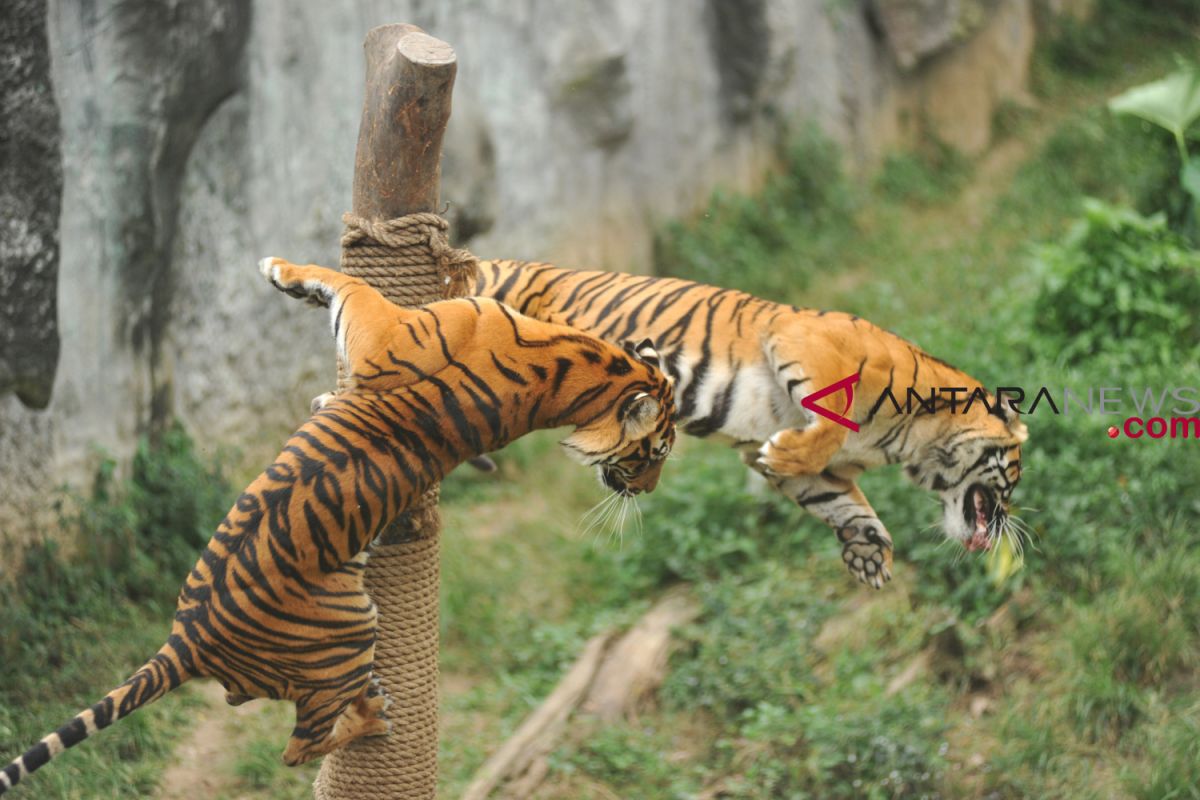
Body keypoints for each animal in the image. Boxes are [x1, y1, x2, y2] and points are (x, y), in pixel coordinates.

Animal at [0, 257, 676, 796]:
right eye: (654, 454)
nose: (645, 491)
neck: (588, 371)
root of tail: (186, 641)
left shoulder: (384, 331)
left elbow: (349, 284)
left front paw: (279, 269)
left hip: (350, 630)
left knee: (297, 746)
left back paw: (375, 715)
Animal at [472, 260, 1027, 592]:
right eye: (1015, 478)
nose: (1007, 521)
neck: (909, 442)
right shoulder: (802, 342)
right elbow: (830, 425)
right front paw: (786, 452)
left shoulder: (819, 470)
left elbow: (845, 504)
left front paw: (869, 554)